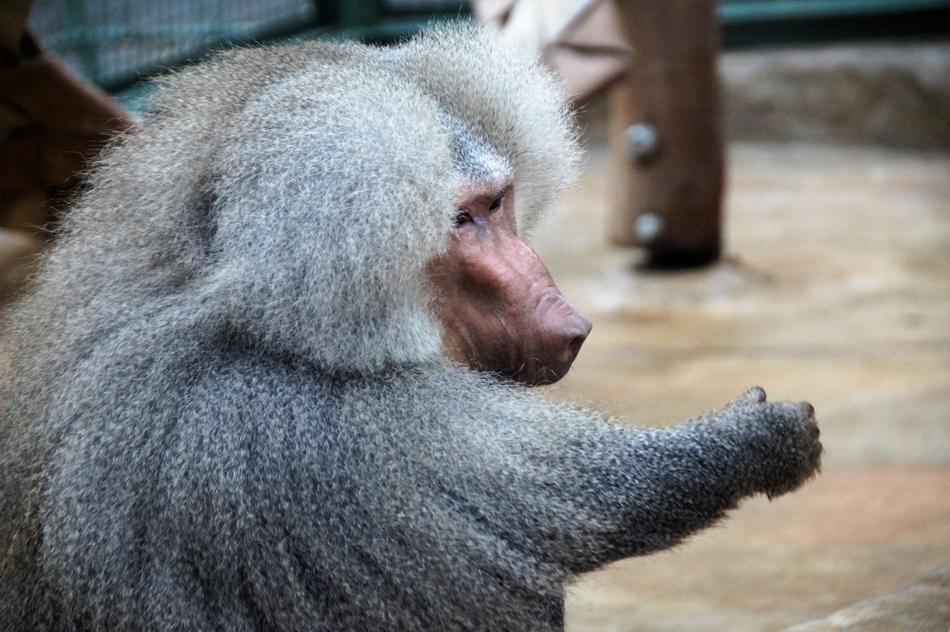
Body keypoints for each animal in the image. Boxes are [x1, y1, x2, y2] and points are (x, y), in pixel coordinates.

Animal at [0, 26, 821, 631]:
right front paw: (760, 435)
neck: (230, 297)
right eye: (462, 219)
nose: (570, 323)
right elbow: (592, 508)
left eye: (499, 201)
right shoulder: (308, 438)